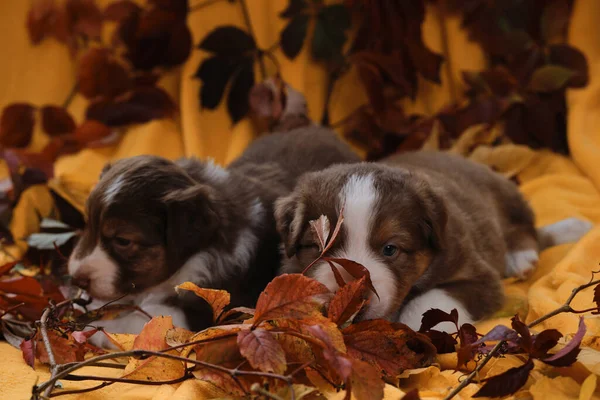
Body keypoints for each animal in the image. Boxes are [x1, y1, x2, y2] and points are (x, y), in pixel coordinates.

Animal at [66, 126, 358, 338]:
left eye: (123, 241)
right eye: (87, 225)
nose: (77, 279)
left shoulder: (207, 308)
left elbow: (149, 317)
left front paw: (98, 330)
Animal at [274, 151, 592, 332]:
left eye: (390, 249)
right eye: (319, 248)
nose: (351, 299)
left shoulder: (478, 276)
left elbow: (427, 300)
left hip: (505, 193)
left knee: (529, 226)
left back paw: (529, 252)